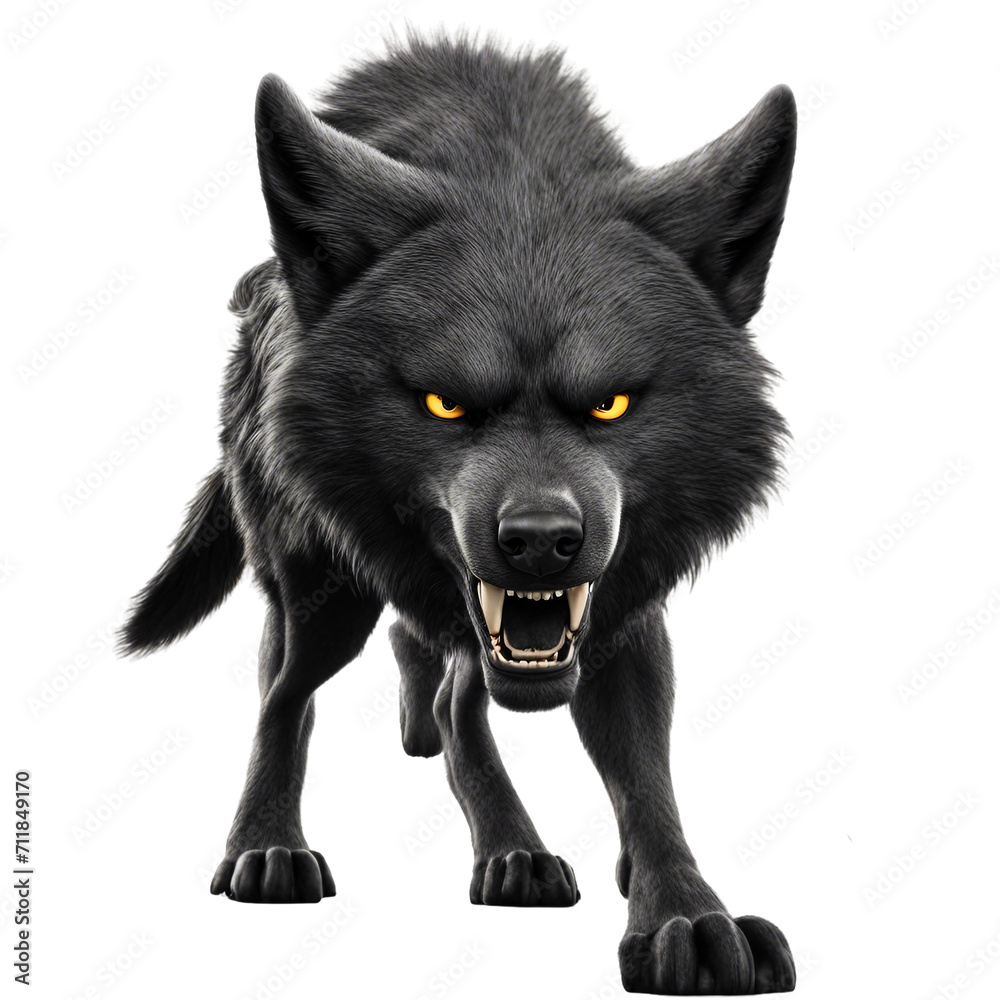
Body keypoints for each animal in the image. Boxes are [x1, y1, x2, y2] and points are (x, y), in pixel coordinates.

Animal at [120, 36, 797, 995]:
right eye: (444, 403)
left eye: (613, 403)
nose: (543, 543)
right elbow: (296, 701)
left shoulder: (626, 615)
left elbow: (646, 776)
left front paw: (685, 915)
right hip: (324, 591)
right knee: (288, 686)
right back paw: (277, 845)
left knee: (445, 694)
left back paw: (501, 831)